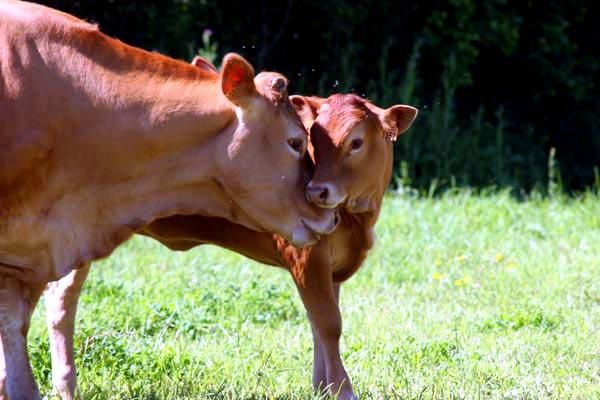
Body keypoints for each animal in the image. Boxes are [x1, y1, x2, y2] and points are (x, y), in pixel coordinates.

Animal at [41, 94, 418, 400]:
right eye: (314, 140)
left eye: (356, 142)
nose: (316, 191)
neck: (358, 218)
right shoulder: (306, 255)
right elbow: (329, 323)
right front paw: (342, 390)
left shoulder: (331, 267)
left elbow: (318, 323)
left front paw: (322, 386)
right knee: (62, 302)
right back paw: (66, 385)